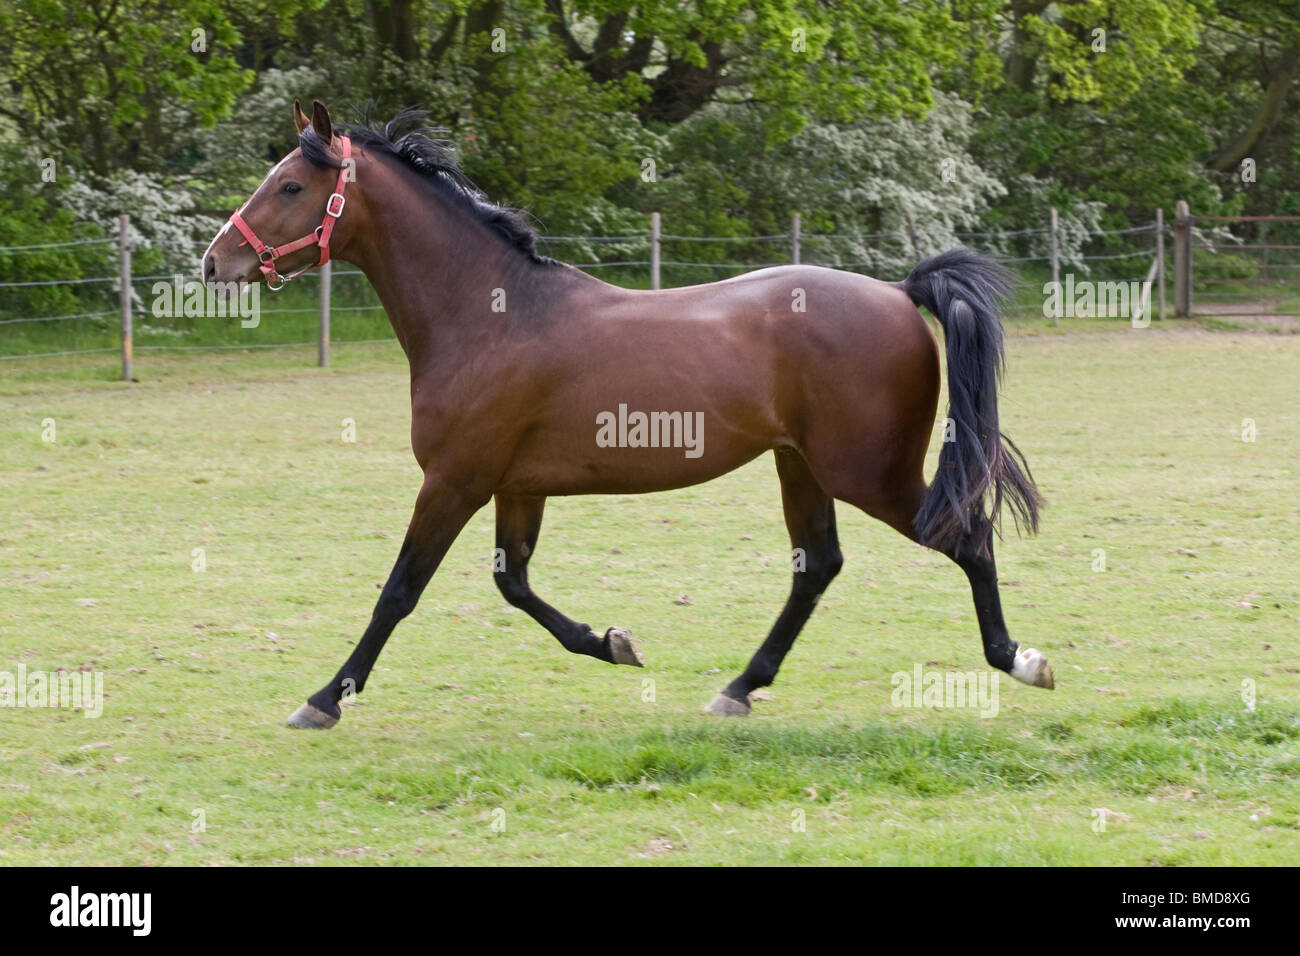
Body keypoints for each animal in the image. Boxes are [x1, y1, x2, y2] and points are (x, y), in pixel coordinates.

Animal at [205, 102, 1055, 733]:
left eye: (289, 186)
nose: (217, 262)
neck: (491, 314)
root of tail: (900, 292)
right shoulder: (516, 486)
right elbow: (514, 584)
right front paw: (613, 644)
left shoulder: (454, 480)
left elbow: (399, 590)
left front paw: (323, 699)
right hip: (802, 466)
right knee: (818, 566)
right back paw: (738, 688)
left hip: (866, 471)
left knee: (967, 536)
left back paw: (1020, 660)